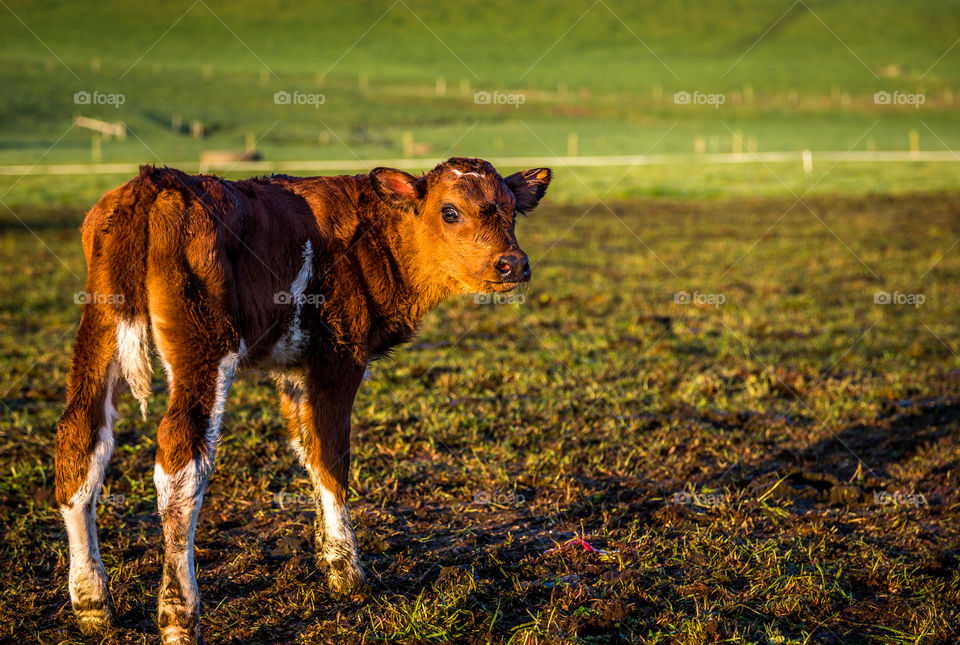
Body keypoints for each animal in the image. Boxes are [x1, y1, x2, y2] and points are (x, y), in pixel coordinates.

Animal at [56, 157, 552, 644]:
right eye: (450, 211)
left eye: (512, 212)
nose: (513, 264)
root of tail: (156, 181)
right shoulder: (338, 358)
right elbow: (331, 458)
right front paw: (347, 571)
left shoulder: (295, 370)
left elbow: (307, 449)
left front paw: (328, 555)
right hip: (204, 345)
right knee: (180, 465)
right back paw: (179, 615)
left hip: (99, 328)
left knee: (79, 440)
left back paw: (92, 604)